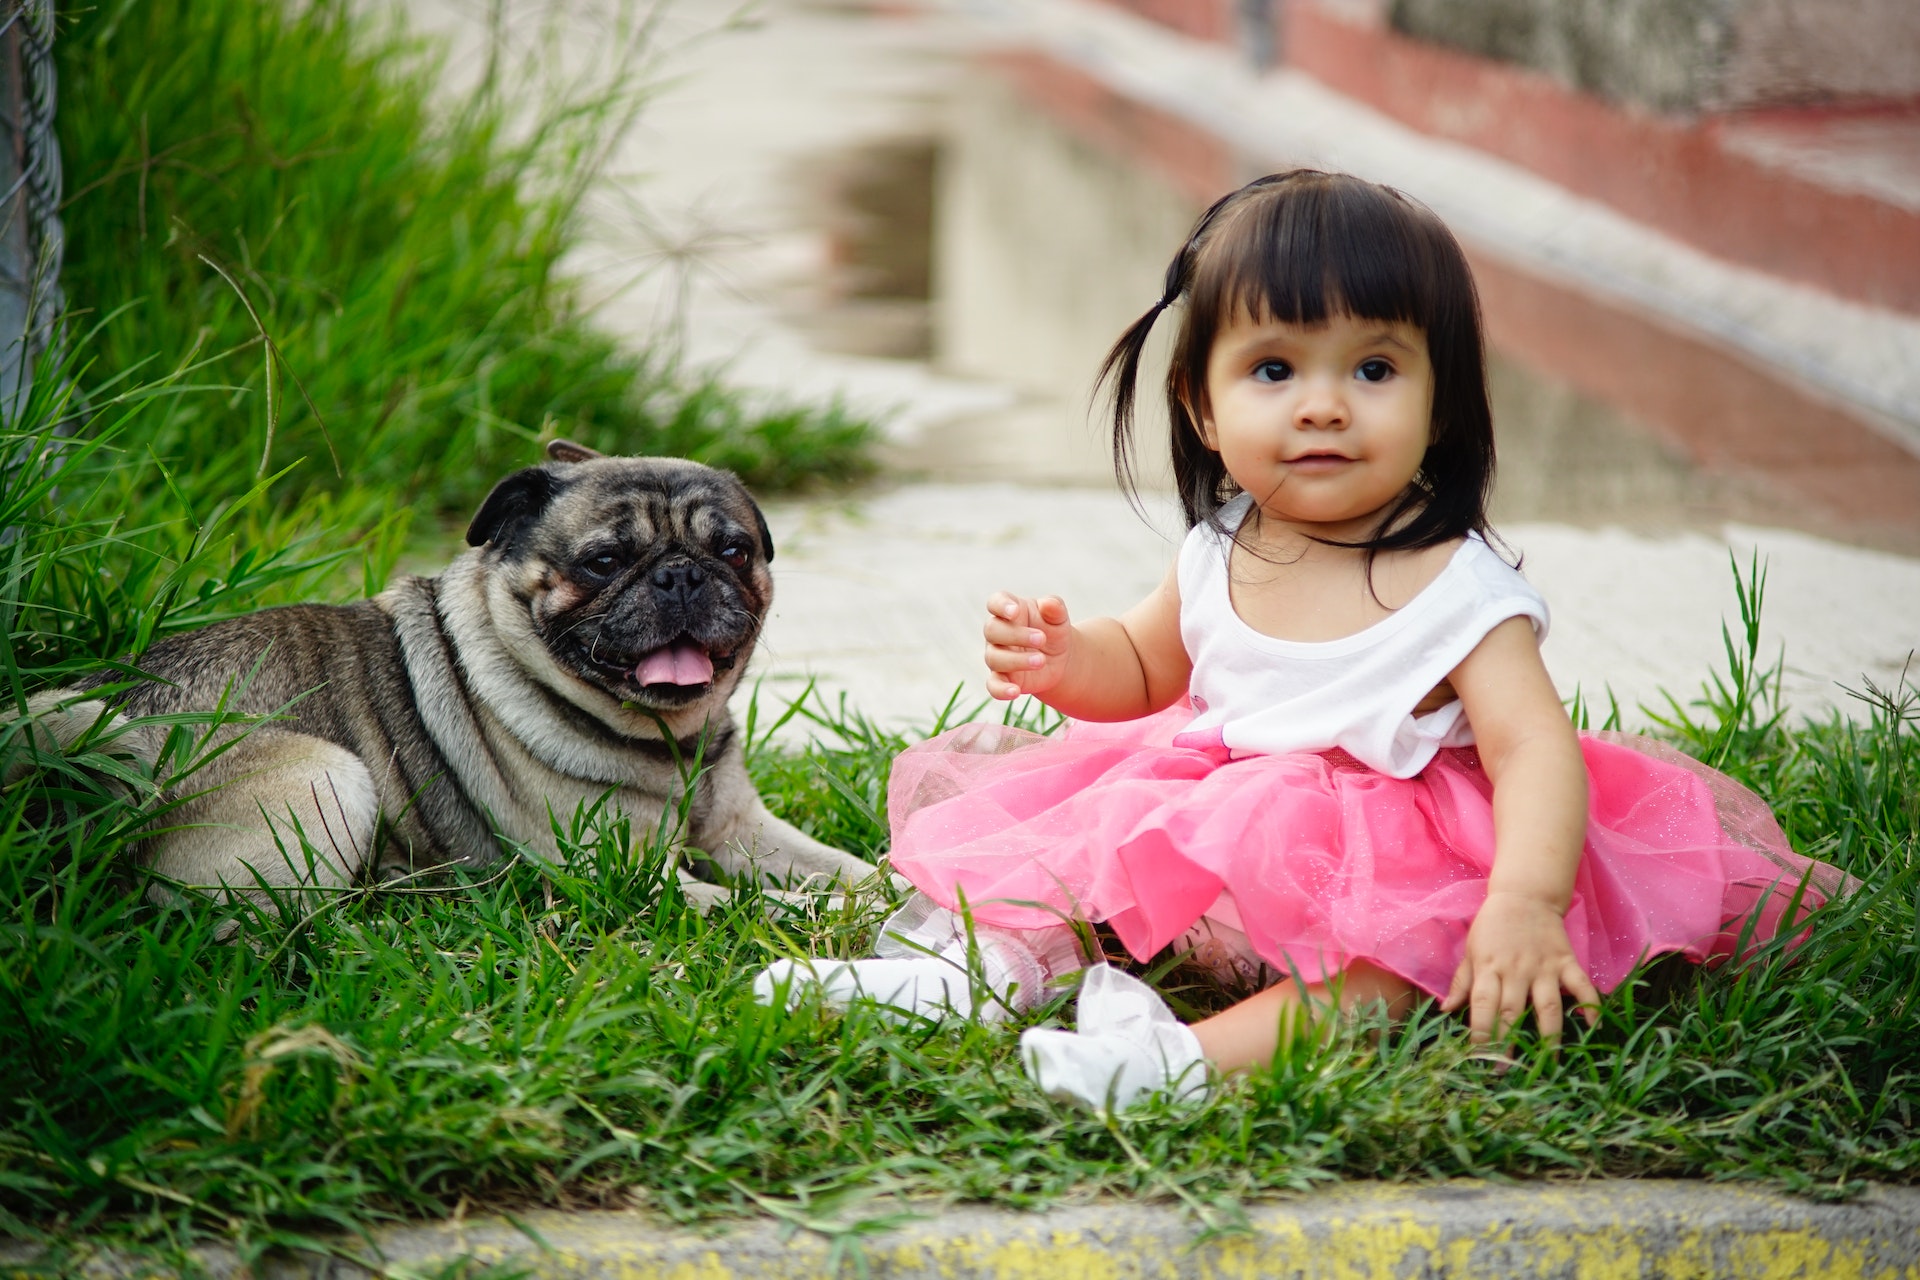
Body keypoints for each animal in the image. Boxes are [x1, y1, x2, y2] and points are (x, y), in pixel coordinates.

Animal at [18, 441, 875, 909]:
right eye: (603, 562)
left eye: (733, 550)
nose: (681, 576)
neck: (670, 742)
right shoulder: (631, 876)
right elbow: (765, 909)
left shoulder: (744, 832)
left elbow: (851, 870)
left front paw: (890, 889)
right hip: (331, 777)